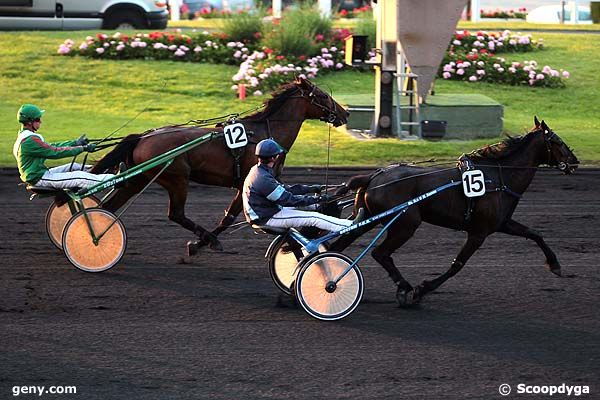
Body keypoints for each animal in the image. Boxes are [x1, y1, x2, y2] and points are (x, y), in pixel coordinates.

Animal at [91, 77, 350, 253]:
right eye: (323, 96)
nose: (345, 113)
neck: (265, 134)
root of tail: (143, 136)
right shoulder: (244, 183)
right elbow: (228, 218)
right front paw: (200, 244)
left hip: (138, 179)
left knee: (109, 207)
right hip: (177, 179)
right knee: (176, 214)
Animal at [332, 117, 580, 308]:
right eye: (557, 141)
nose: (575, 161)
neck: (497, 178)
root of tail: (373, 176)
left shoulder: (502, 223)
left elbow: (534, 234)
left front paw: (554, 265)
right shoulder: (479, 232)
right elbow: (457, 265)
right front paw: (422, 290)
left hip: (368, 218)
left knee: (342, 243)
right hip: (406, 223)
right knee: (380, 253)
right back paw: (403, 287)